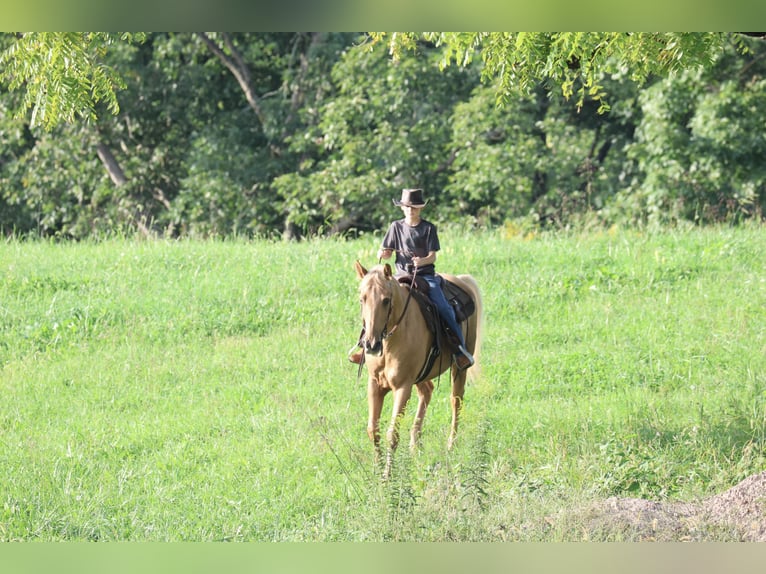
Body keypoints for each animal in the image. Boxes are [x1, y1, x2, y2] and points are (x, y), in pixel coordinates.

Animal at [353, 260, 483, 477]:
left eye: (386, 300)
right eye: (362, 299)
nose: (371, 344)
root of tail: (460, 280)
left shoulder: (402, 387)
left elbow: (392, 433)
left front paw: (387, 475)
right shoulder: (375, 384)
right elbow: (373, 429)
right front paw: (377, 470)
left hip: (459, 369)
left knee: (456, 402)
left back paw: (451, 446)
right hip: (422, 374)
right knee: (427, 392)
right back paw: (415, 445)